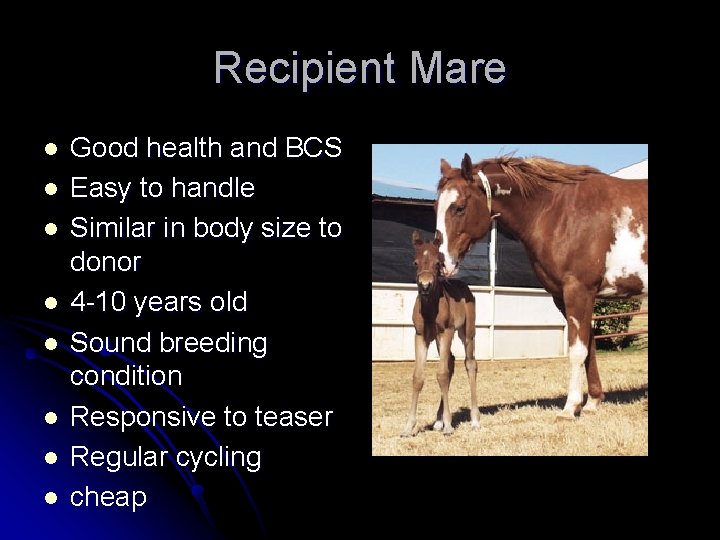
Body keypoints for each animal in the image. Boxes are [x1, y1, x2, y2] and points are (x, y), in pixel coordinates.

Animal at [401, 230, 479, 437]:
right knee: (450, 360)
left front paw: (449, 425)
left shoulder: (446, 332)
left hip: (467, 332)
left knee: (470, 363)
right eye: (415, 262)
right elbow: (418, 377)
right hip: (437, 338)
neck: (430, 308)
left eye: (438, 263)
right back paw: (438, 421)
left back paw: (475, 420)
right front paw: (408, 427)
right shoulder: (420, 335)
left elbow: (442, 374)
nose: (425, 285)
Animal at [435, 154, 647, 421]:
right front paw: (592, 402)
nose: (443, 263)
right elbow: (589, 346)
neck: (558, 211)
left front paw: (569, 408)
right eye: (435, 207)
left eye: (459, 207)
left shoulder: (578, 291)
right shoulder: (564, 297)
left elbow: (577, 350)